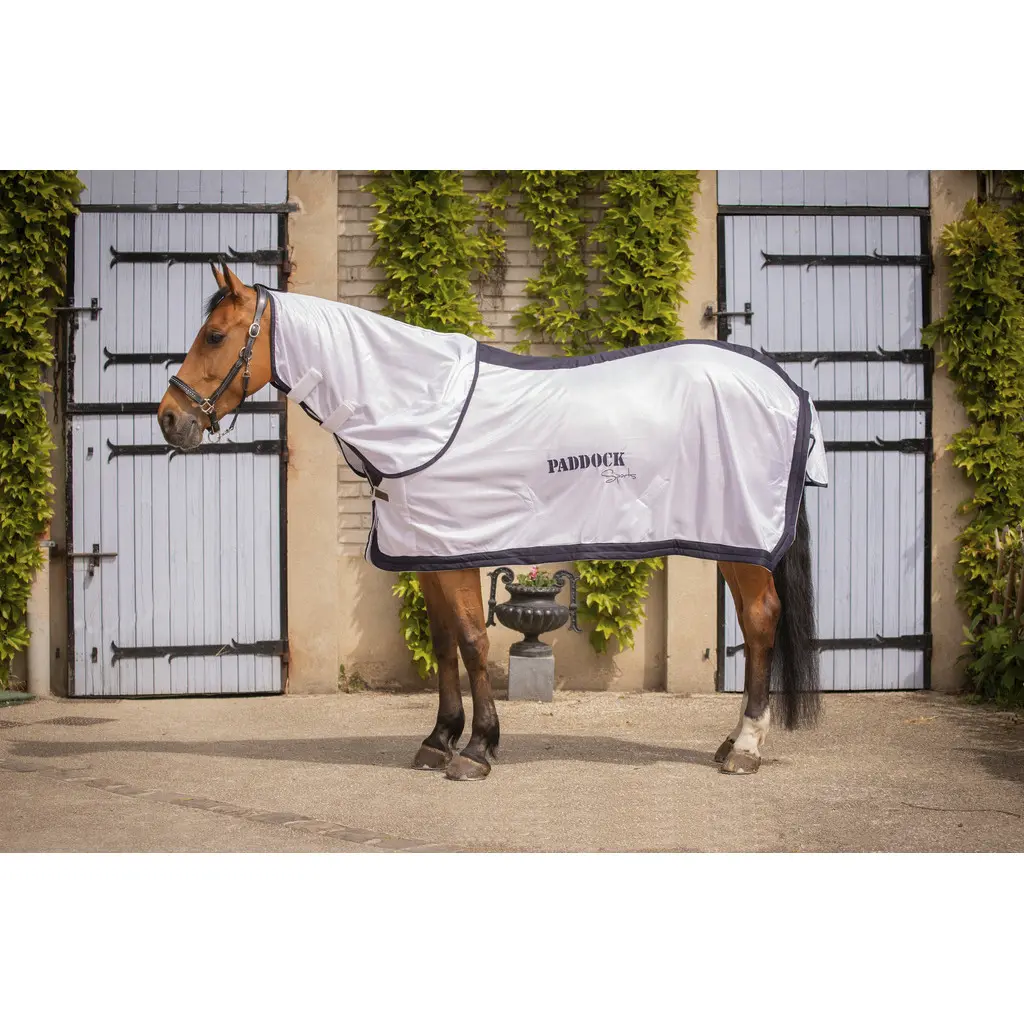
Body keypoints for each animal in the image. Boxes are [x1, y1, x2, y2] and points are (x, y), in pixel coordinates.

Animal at [157, 264, 822, 779]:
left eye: (215, 335)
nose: (168, 419)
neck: (413, 406)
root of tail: (786, 388)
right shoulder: (427, 553)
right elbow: (445, 643)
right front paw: (439, 739)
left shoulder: (457, 551)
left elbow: (475, 640)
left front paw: (477, 749)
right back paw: (729, 744)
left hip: (739, 544)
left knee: (760, 622)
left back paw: (746, 748)